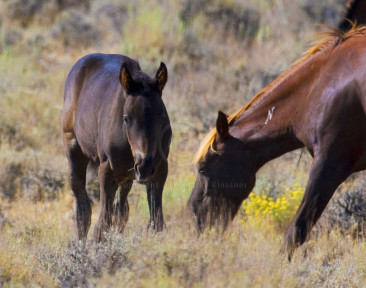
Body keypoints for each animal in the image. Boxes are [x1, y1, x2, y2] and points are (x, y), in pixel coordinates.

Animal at [62, 53, 171, 241]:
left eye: (162, 118)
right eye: (126, 118)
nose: (144, 166)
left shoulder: (159, 172)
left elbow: (156, 223)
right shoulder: (107, 171)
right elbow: (102, 225)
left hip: (127, 177)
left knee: (121, 210)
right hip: (73, 147)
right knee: (82, 208)